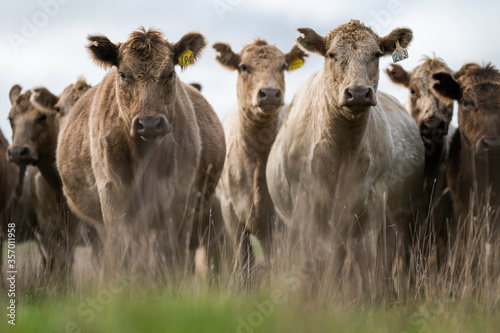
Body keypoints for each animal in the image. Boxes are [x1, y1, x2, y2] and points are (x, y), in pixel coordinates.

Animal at [56, 27, 225, 272]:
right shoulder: (111, 192)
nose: (150, 123)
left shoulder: (178, 196)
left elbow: (169, 250)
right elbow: (122, 249)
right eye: (124, 74)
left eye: (169, 74)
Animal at [213, 39, 306, 278]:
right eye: (244, 66)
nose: (270, 93)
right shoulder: (231, 214)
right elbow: (244, 263)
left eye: (283, 66)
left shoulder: (280, 220)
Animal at [266, 19, 426, 296]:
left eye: (376, 54)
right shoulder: (306, 203)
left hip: (399, 217)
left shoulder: (374, 200)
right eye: (331, 54)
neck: (342, 150)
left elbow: (367, 259)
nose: (359, 92)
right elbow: (316, 259)